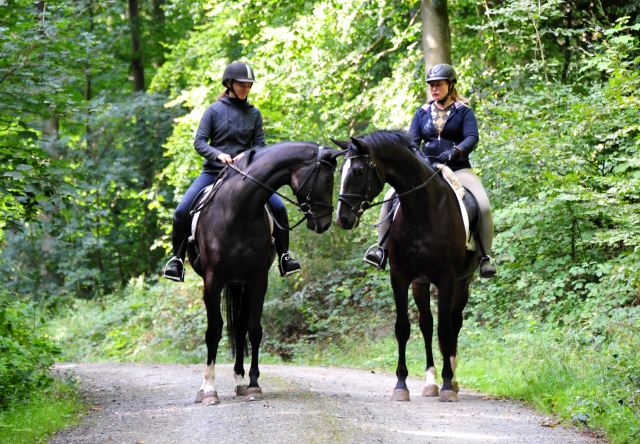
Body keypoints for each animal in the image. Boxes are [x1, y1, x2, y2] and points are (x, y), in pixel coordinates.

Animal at [188, 143, 342, 406]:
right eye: (327, 178)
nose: (324, 224)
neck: (237, 211)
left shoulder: (258, 280)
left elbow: (254, 330)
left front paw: (253, 385)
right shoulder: (212, 281)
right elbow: (213, 331)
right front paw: (208, 389)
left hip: (241, 283)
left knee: (240, 327)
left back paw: (240, 381)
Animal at [332, 131, 478, 402]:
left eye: (358, 171)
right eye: (340, 171)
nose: (343, 219)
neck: (422, 209)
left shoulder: (447, 280)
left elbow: (445, 330)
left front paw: (447, 385)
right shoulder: (400, 276)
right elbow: (403, 328)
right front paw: (401, 385)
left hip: (463, 283)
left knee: (453, 323)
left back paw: (452, 380)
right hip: (421, 283)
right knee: (426, 325)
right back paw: (430, 382)